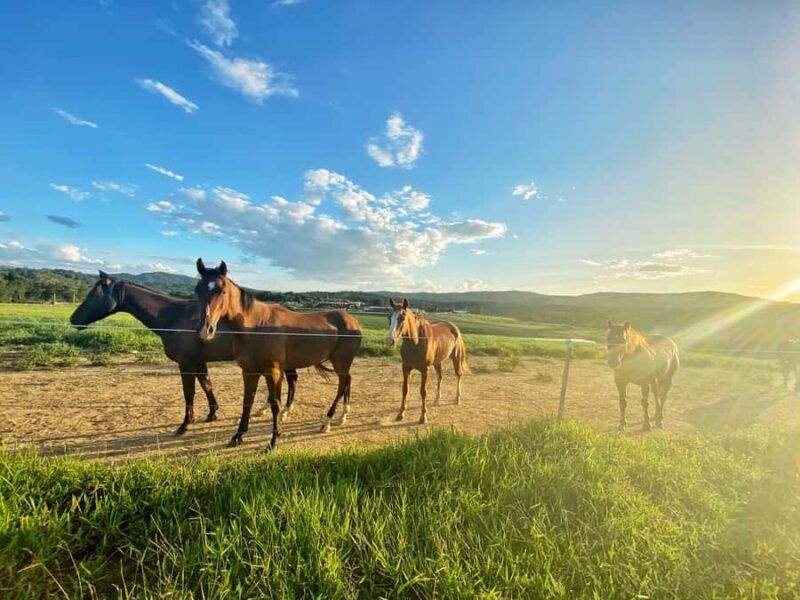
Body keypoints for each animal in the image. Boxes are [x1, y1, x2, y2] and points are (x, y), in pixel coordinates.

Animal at [69, 271, 299, 436]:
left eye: (93, 295)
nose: (73, 320)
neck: (173, 317)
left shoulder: (186, 363)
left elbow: (189, 393)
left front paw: (185, 424)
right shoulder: (197, 362)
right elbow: (206, 385)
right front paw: (212, 413)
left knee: (291, 380)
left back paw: (283, 411)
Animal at [194, 259, 362, 451]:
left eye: (222, 291)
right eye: (197, 290)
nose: (205, 330)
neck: (256, 326)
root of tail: (353, 320)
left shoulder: (273, 372)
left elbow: (275, 403)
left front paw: (274, 440)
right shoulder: (249, 371)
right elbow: (247, 402)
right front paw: (238, 436)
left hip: (341, 361)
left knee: (342, 384)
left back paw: (327, 421)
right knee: (347, 381)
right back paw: (343, 416)